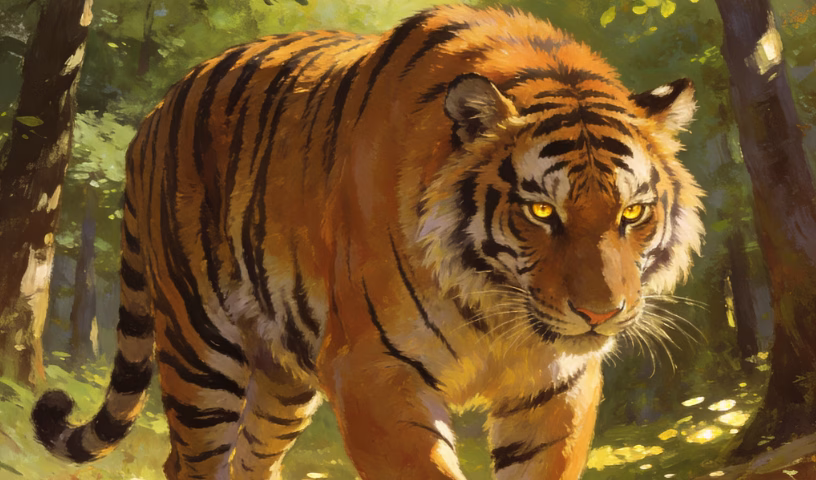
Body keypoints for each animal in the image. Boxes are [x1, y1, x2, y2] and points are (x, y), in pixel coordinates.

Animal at [31, 4, 703, 480]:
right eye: (541, 210)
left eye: (633, 212)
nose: (602, 313)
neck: (496, 309)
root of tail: (155, 113)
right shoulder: (373, 372)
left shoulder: (557, 385)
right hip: (199, 350)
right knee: (190, 460)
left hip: (280, 377)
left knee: (251, 459)